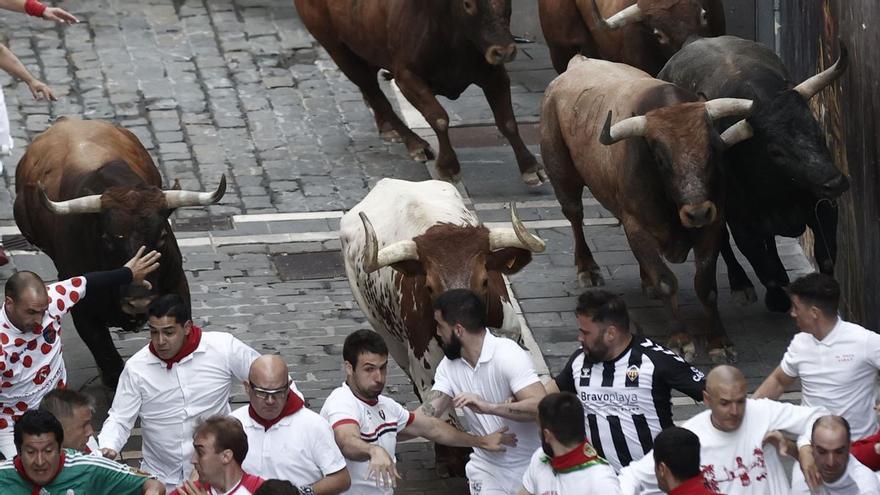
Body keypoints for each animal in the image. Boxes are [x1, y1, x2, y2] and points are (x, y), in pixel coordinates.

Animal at [292, 0, 548, 185]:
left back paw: (387, 129)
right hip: (339, 51)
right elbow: (439, 118)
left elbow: (507, 122)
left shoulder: (495, 75)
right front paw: (448, 166)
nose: (504, 51)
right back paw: (414, 144)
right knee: (376, 95)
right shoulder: (407, 77)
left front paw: (531, 168)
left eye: (506, 0)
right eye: (467, 3)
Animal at [540, 57, 752, 360]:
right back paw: (587, 269)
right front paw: (680, 338)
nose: (697, 212)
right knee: (575, 215)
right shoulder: (637, 225)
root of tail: (578, 62)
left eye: (713, 150)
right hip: (561, 172)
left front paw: (719, 341)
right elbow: (666, 281)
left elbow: (706, 286)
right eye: (661, 160)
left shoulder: (713, 224)